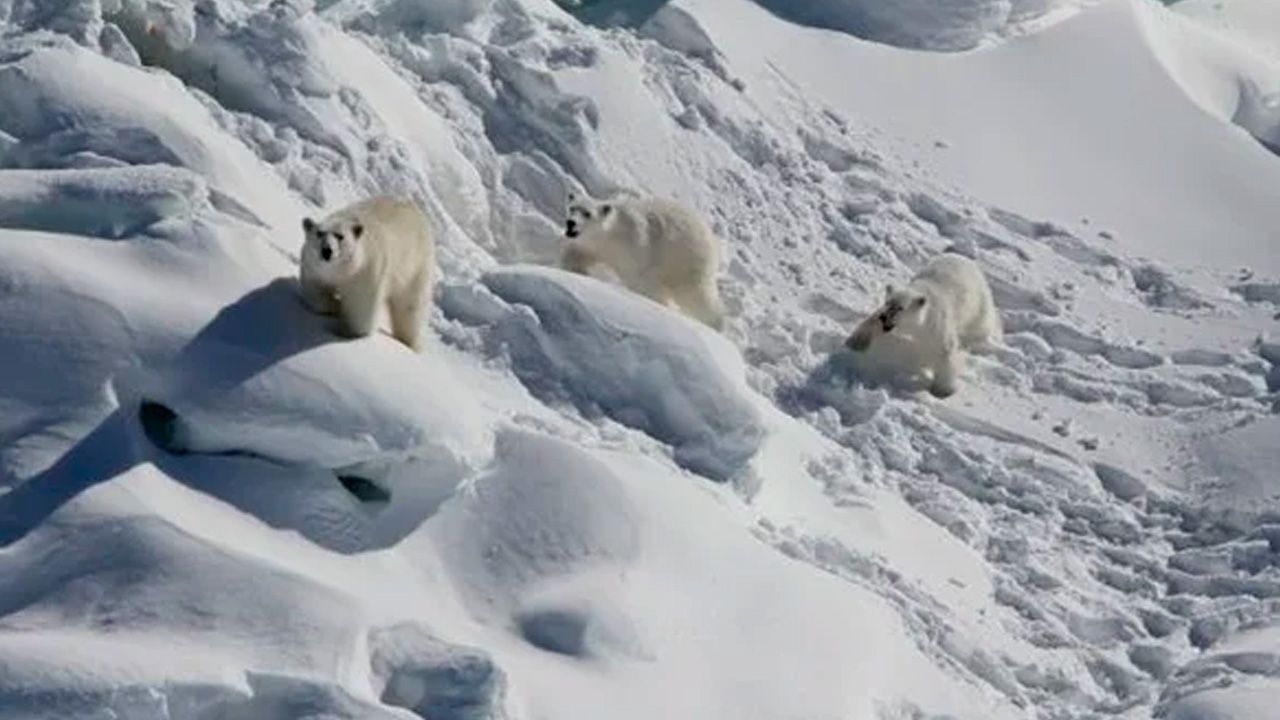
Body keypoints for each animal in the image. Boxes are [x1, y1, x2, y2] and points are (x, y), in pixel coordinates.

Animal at [299, 196, 435, 350]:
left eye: (340, 236)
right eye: (319, 233)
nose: (327, 250)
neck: (342, 271)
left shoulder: (365, 272)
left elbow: (361, 309)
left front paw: (348, 331)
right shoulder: (314, 270)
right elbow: (316, 293)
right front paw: (334, 305)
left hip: (415, 267)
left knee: (410, 308)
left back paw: (409, 342)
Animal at [559, 192, 726, 330]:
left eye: (587, 213)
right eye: (572, 208)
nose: (571, 223)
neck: (611, 236)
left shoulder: (636, 249)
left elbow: (641, 280)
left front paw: (654, 302)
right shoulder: (593, 246)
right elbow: (577, 254)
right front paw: (577, 271)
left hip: (686, 259)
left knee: (697, 294)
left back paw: (716, 324)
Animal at [844, 253, 1001, 398]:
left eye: (900, 308)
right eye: (888, 303)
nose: (884, 317)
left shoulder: (937, 323)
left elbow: (945, 351)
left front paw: (942, 390)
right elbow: (871, 322)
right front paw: (854, 342)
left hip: (978, 306)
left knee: (979, 327)